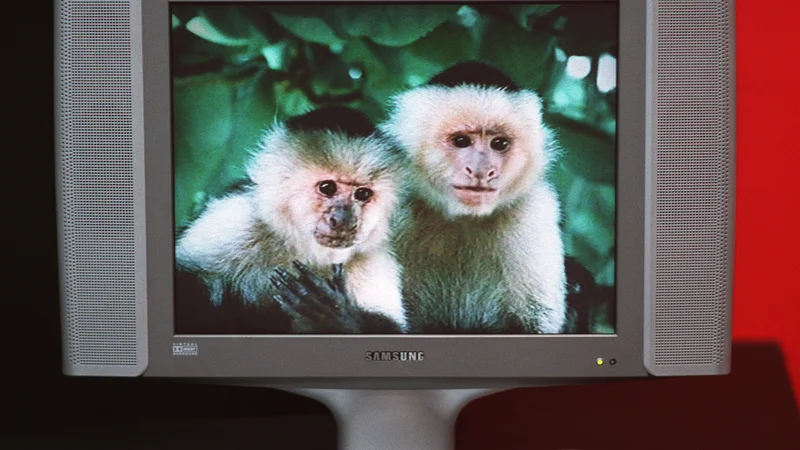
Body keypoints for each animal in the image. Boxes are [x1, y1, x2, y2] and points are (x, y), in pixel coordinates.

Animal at [177, 106, 410, 334]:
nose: (344, 220)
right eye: (327, 188)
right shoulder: (238, 219)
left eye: (362, 194)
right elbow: (188, 281)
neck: (303, 250)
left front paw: (339, 316)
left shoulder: (370, 256)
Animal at [278, 61, 572, 332]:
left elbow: (530, 326)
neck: (460, 216)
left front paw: (345, 318)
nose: (482, 171)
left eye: (499, 143)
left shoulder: (535, 210)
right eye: (461, 141)